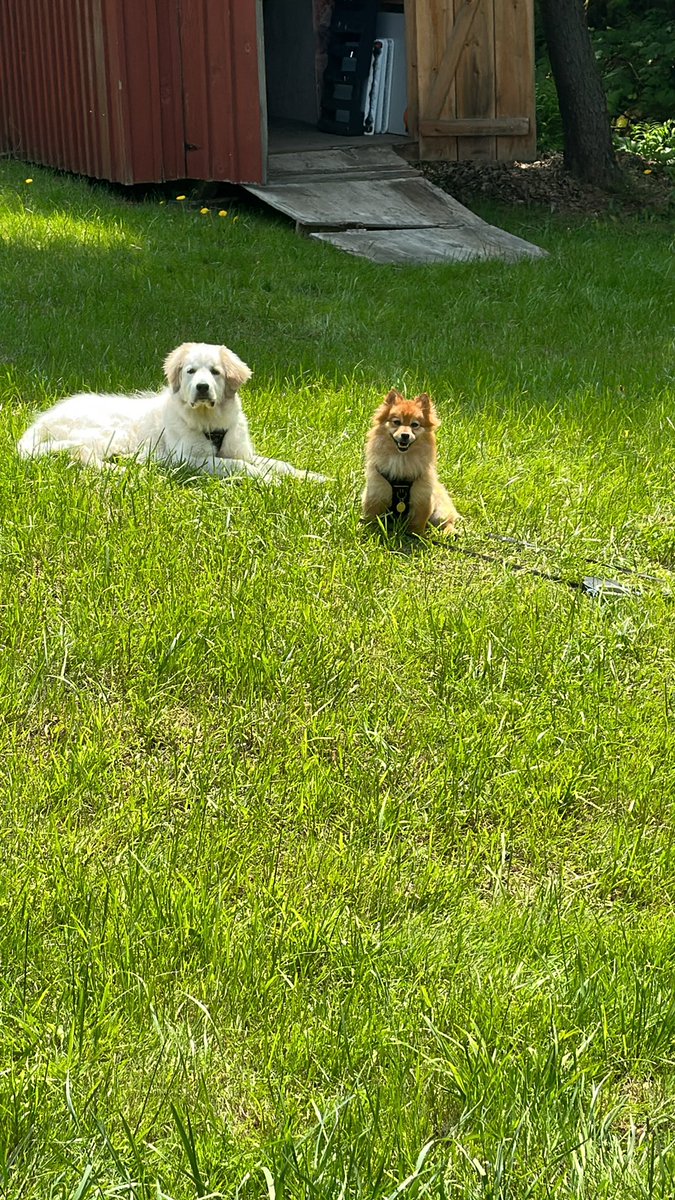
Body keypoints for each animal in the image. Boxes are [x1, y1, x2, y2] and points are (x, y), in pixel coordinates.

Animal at [17, 340, 324, 480]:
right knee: (84, 456)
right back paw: (127, 472)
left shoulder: (240, 450)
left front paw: (313, 477)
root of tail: (42, 421)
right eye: (190, 371)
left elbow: (279, 463)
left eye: (215, 372)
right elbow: (240, 466)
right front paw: (268, 480)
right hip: (112, 432)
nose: (202, 387)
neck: (209, 422)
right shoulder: (189, 459)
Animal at [362, 388, 456, 535]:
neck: (402, 459)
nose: (405, 435)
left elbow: (418, 523)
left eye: (415, 425)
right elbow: (372, 517)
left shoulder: (422, 498)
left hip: (440, 511)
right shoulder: (375, 494)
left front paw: (416, 535)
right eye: (396, 422)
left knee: (447, 521)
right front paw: (372, 530)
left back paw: (450, 532)